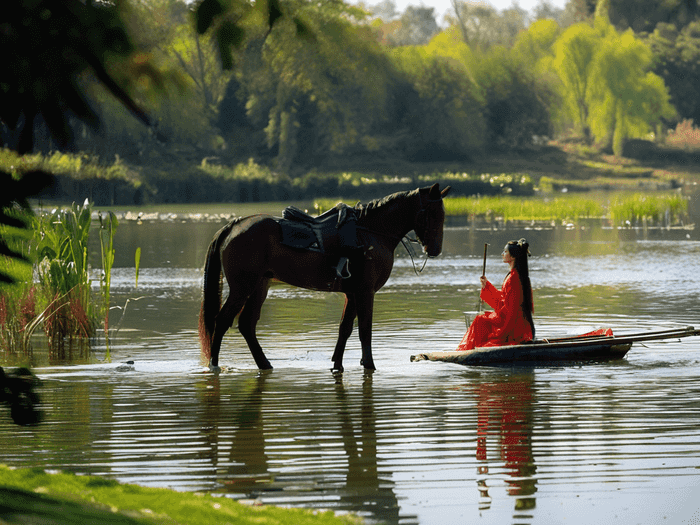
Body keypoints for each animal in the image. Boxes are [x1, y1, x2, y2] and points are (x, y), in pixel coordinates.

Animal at [197, 182, 452, 370]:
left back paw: (264, 364)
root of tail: (235, 225)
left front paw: (337, 364)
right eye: (433, 213)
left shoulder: (352, 293)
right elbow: (364, 329)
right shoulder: (365, 291)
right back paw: (214, 365)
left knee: (247, 325)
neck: (371, 233)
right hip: (243, 286)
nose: (435, 249)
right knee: (222, 320)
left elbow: (345, 329)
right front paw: (369, 364)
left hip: (260, 285)